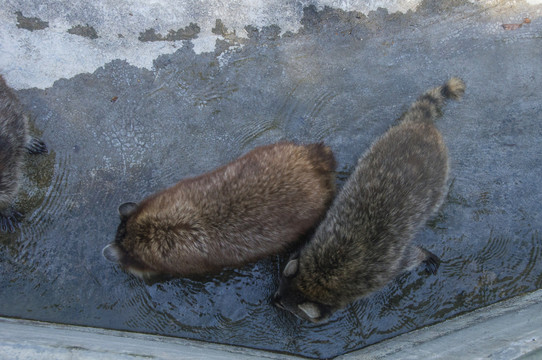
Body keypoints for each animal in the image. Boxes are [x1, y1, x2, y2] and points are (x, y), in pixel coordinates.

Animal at [276, 77, 468, 322]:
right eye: (278, 293)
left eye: (284, 306)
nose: (272, 301)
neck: (325, 274)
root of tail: (422, 127)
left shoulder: (377, 274)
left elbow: (408, 259)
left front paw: (423, 254)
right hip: (381, 143)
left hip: (439, 177)